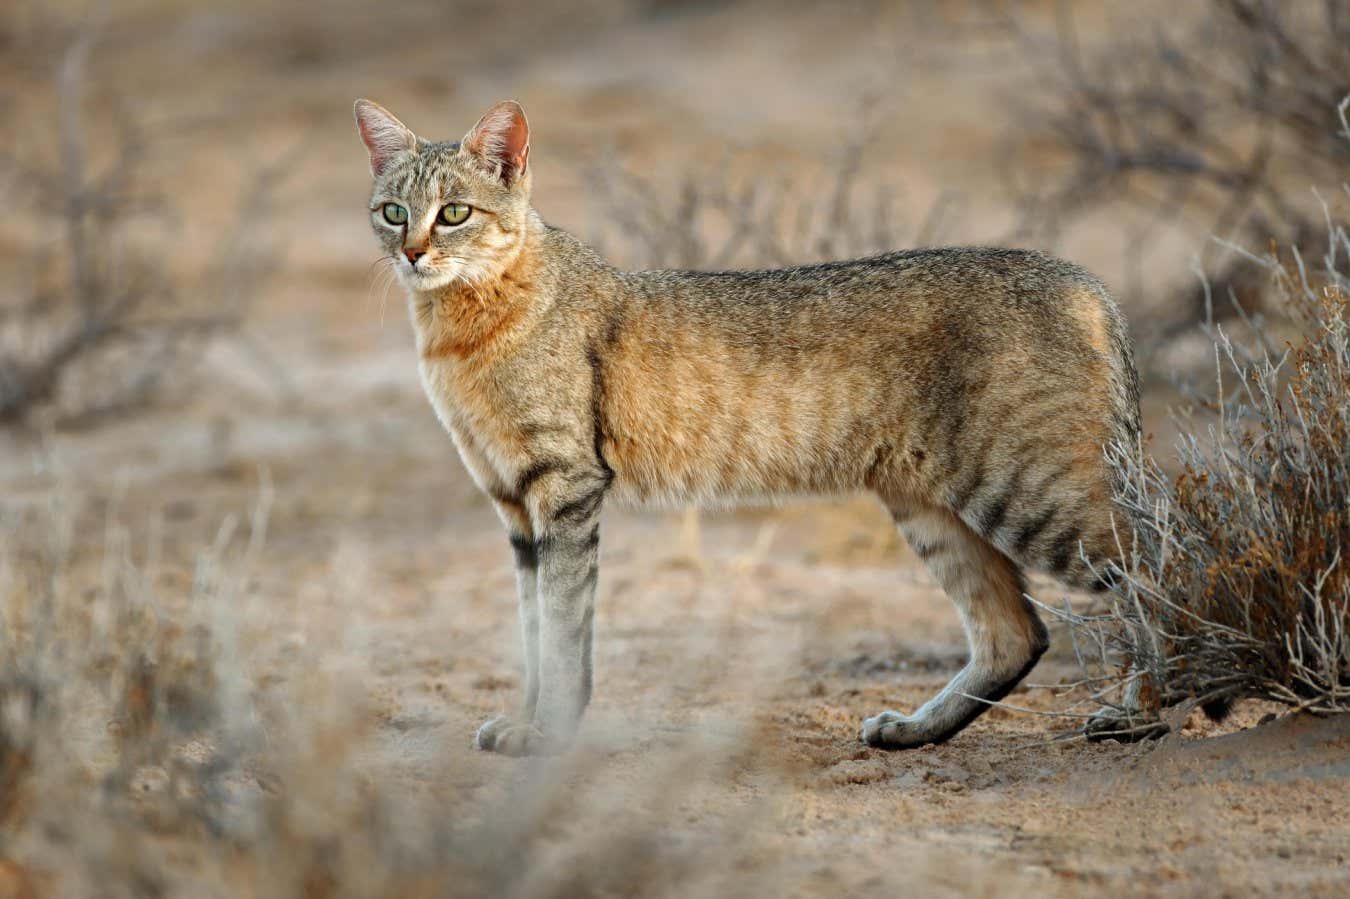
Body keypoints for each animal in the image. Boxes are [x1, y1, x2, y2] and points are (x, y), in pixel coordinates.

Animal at [356, 97, 1139, 750]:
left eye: (454, 212)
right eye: (392, 211)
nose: (413, 252)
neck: (457, 329)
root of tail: (1085, 281)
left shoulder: (566, 485)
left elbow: (561, 626)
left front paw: (548, 730)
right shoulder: (514, 502)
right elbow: (529, 630)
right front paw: (527, 719)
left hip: (1032, 494)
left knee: (1150, 565)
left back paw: (1137, 713)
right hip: (930, 505)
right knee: (1016, 633)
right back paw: (917, 729)